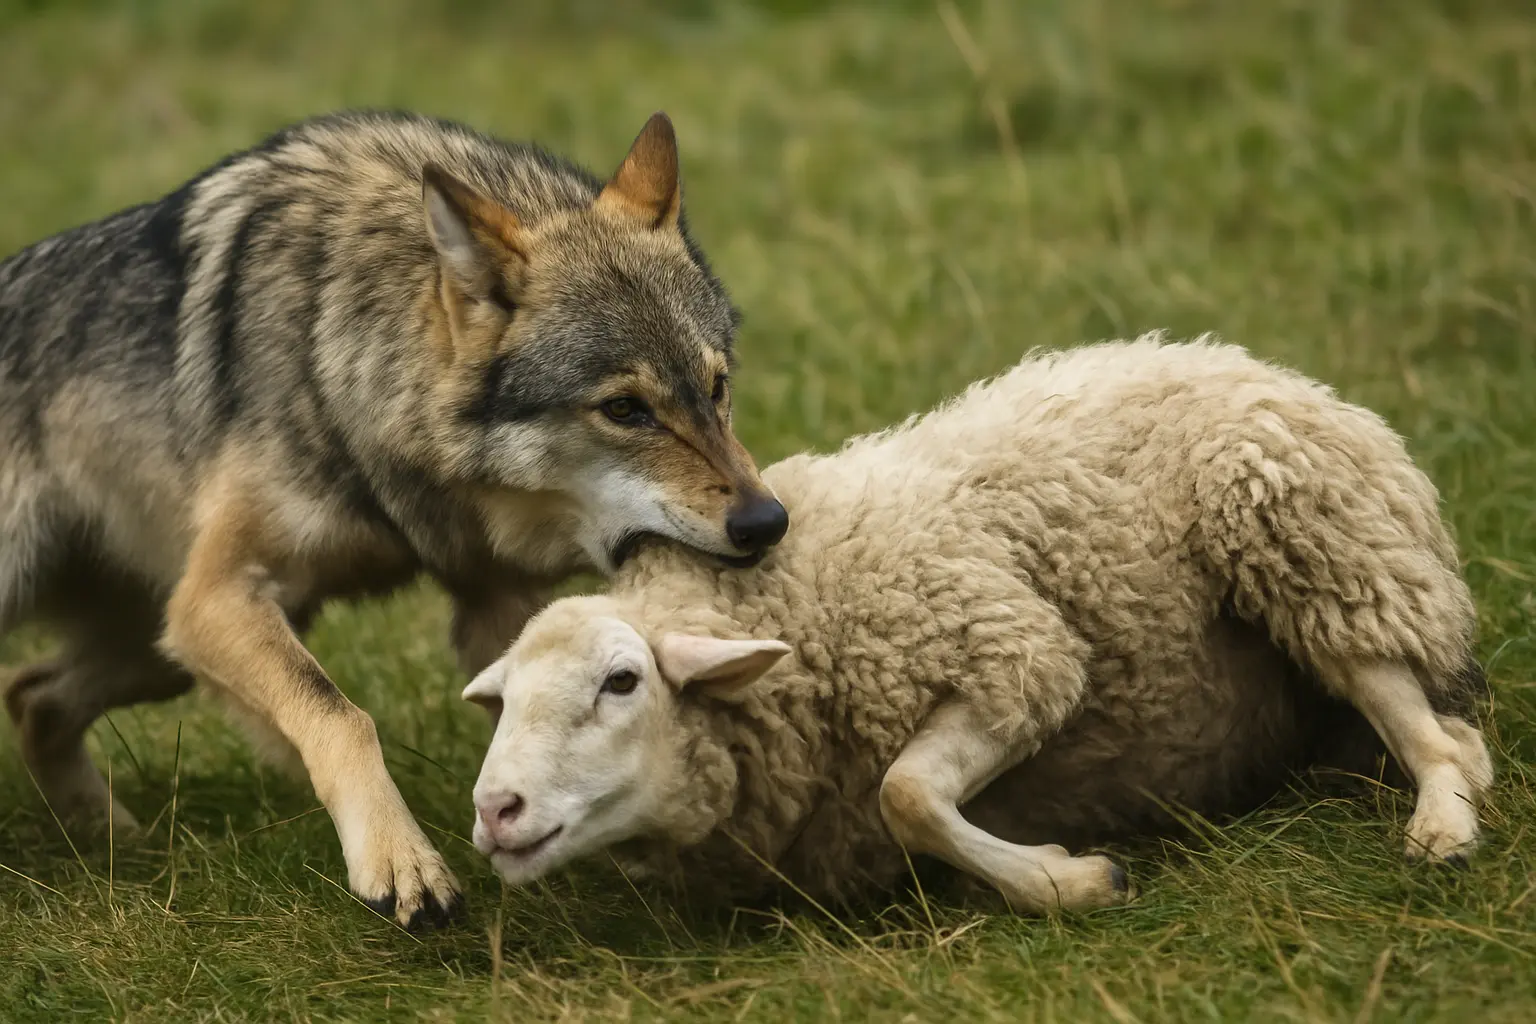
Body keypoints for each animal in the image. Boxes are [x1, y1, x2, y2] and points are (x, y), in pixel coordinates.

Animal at [0, 109, 788, 929]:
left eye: (716, 388)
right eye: (625, 409)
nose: (768, 521)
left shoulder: (492, 598)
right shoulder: (215, 595)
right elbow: (343, 716)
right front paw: (401, 863)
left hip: (159, 652)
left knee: (30, 694)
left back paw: (111, 841)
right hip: (147, 624)